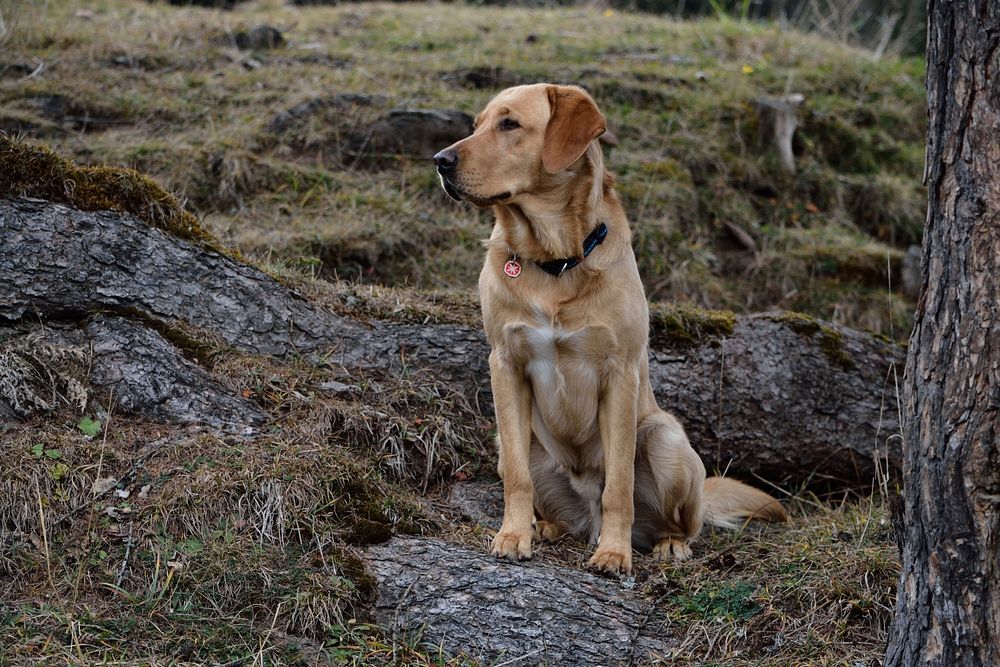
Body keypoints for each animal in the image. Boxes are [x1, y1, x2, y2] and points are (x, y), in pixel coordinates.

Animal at [434, 83, 784, 576]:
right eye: (477, 125)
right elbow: (518, 479)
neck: (555, 260)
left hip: (664, 437)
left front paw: (615, 553)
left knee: (679, 521)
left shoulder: (619, 373)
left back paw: (667, 543)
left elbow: (618, 484)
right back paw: (546, 527)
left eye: (509, 124)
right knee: (539, 489)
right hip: (510, 440)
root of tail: (587, 519)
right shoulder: (505, 364)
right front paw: (513, 535)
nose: (440, 160)